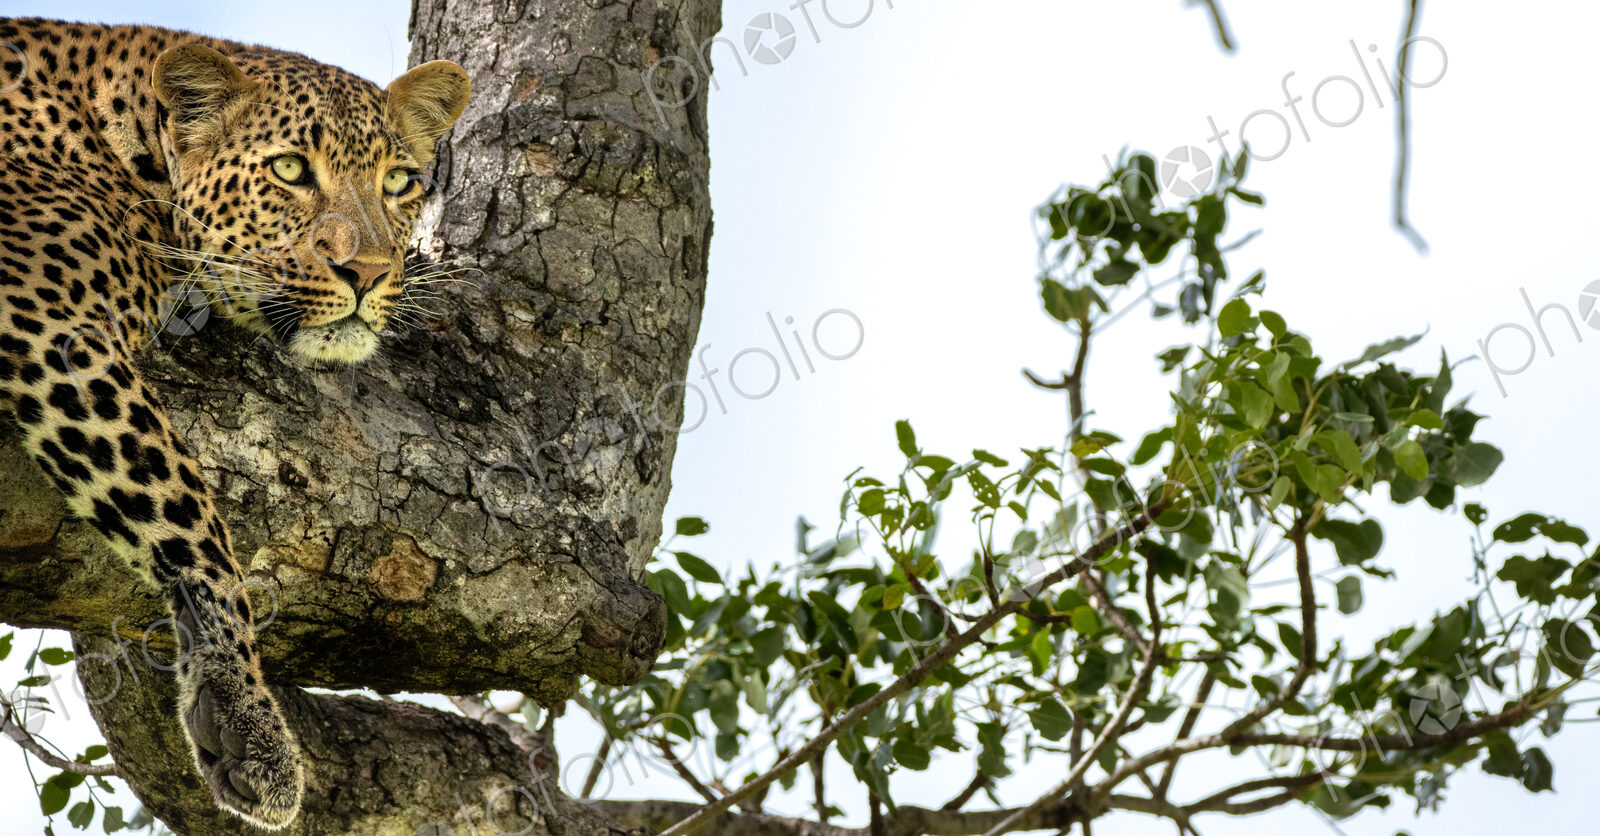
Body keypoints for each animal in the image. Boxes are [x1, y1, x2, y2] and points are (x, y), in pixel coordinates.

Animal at [0, 16, 469, 828]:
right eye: (289, 169)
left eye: (399, 183)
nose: (370, 272)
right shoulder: (47, 318)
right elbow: (186, 512)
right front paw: (245, 715)